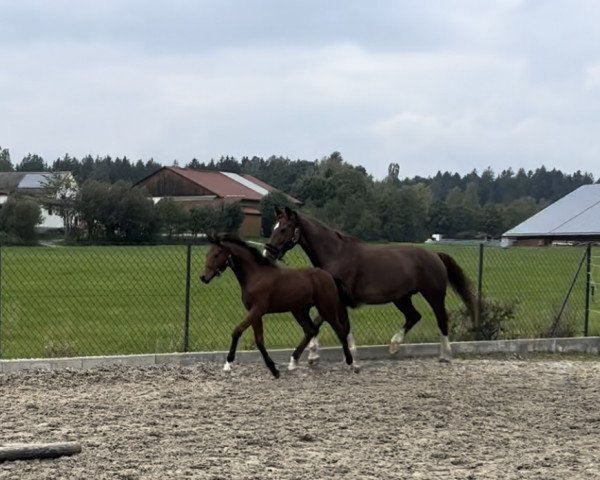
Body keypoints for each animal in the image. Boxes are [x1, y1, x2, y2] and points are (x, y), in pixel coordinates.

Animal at [200, 234, 356, 376]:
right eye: (207, 254)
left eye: (216, 254)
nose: (203, 277)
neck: (255, 276)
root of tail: (329, 276)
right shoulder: (255, 313)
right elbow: (259, 340)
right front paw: (274, 370)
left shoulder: (257, 310)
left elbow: (237, 331)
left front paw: (228, 363)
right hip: (299, 311)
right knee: (311, 330)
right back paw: (293, 363)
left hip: (326, 308)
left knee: (340, 331)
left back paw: (352, 363)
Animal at [264, 208, 478, 362]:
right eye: (274, 227)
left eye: (283, 229)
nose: (268, 253)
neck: (335, 254)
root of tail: (435, 255)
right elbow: (337, 325)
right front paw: (338, 353)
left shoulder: (335, 298)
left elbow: (318, 322)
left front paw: (304, 357)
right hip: (402, 298)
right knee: (414, 316)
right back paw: (394, 345)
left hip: (433, 295)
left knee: (442, 320)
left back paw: (445, 354)